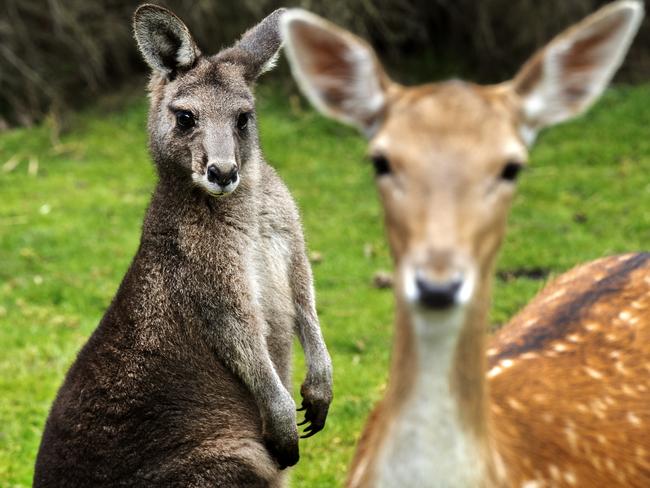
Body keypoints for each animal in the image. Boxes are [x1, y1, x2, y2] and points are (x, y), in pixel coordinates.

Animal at [33, 4, 332, 488]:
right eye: (186, 118)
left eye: (243, 118)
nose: (223, 172)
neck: (245, 206)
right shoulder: (207, 279)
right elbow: (243, 338)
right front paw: (287, 424)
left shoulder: (291, 243)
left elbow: (306, 304)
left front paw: (319, 394)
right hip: (228, 458)